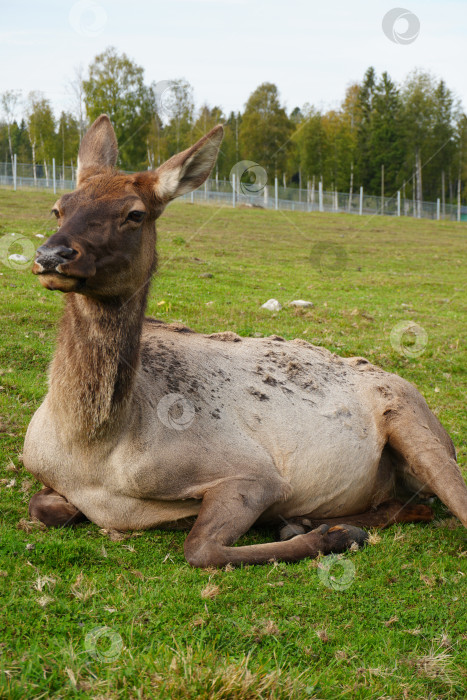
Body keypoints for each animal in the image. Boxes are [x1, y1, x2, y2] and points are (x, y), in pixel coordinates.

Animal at [24, 113, 467, 564]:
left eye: (134, 213)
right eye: (59, 208)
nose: (51, 255)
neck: (91, 451)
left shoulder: (253, 473)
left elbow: (200, 549)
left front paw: (335, 537)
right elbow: (42, 507)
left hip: (414, 424)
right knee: (408, 506)